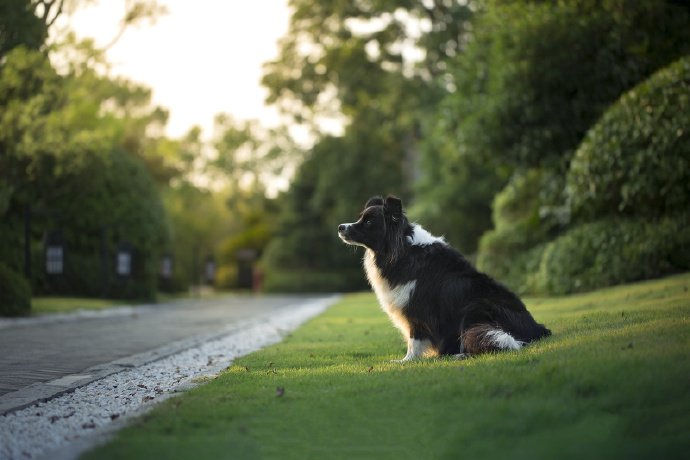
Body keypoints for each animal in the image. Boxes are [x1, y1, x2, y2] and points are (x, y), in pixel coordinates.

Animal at [336, 196, 552, 362]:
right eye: (360, 218)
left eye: (369, 222)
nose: (340, 227)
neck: (402, 250)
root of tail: (538, 330)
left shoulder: (417, 309)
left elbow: (414, 339)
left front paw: (406, 361)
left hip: (475, 309)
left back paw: (458, 355)